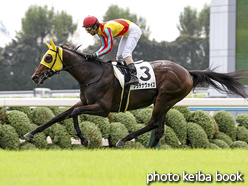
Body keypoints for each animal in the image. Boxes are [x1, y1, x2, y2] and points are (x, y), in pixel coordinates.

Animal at [23, 40, 248, 147]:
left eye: (48, 57)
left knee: (152, 124)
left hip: (164, 98)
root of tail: (187, 72)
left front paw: (84, 139)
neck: (92, 74)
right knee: (159, 128)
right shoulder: (84, 102)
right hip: (166, 102)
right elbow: (61, 115)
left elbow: (75, 114)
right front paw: (30, 133)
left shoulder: (103, 108)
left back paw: (123, 140)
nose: (35, 77)